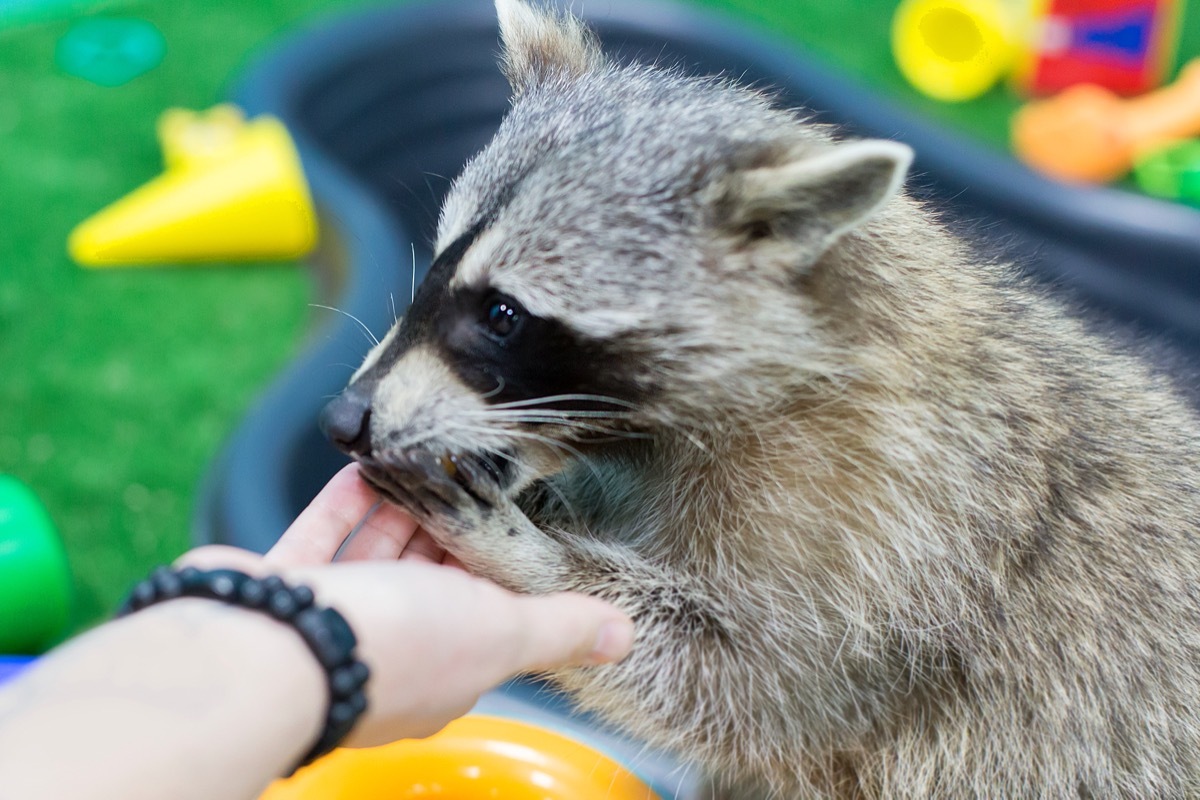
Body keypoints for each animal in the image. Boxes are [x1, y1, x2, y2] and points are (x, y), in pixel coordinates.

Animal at [316, 1, 1200, 796]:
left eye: (502, 315)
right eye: (435, 269)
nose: (343, 418)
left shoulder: (889, 545)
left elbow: (744, 687)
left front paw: (536, 560)